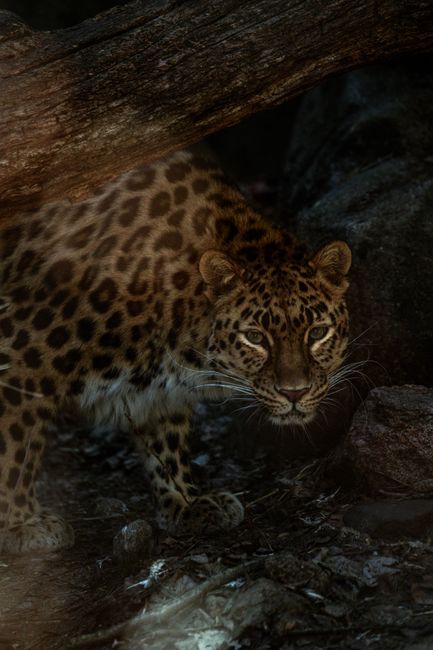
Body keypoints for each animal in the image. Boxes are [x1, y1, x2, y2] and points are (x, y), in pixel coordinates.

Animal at [0, 149, 351, 554]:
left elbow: (166, 441)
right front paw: (21, 523)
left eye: (318, 333)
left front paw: (186, 502)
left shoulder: (158, 390)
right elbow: (16, 446)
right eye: (255, 337)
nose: (295, 393)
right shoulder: (21, 351)